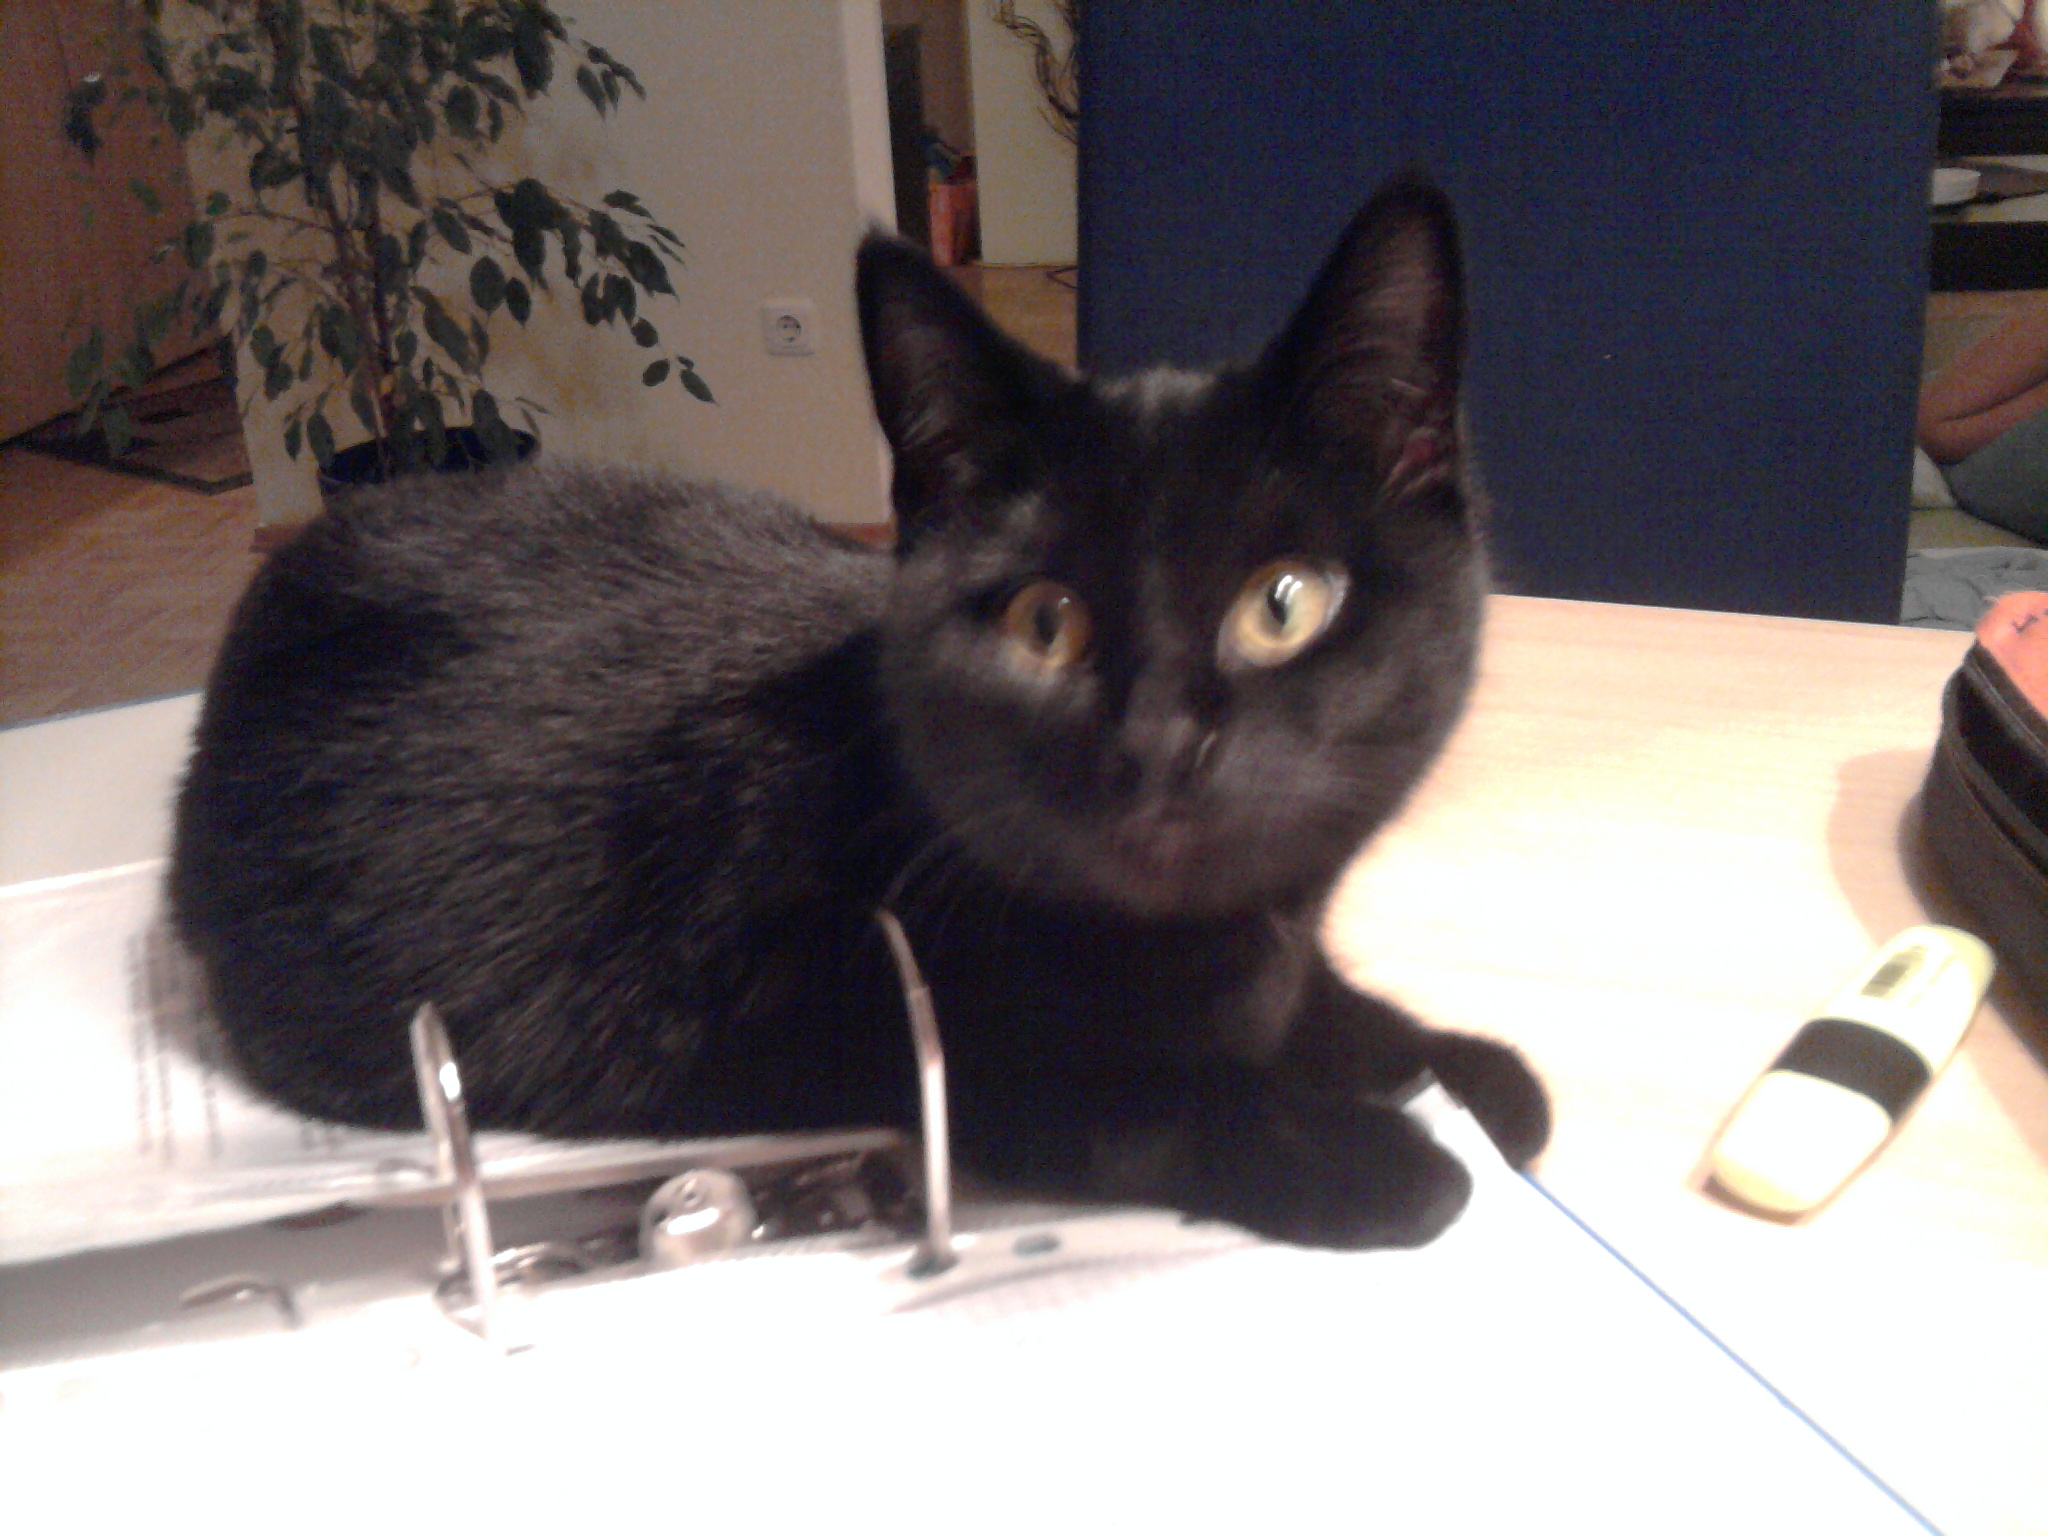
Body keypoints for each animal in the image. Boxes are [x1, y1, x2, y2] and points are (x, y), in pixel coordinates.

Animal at [169, 175, 1548, 1250]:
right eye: (1043, 624)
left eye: (1283, 603)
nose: (1157, 744)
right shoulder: (799, 1014)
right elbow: (1115, 1099)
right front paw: (1380, 1155)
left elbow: (1322, 997)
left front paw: (1449, 1062)